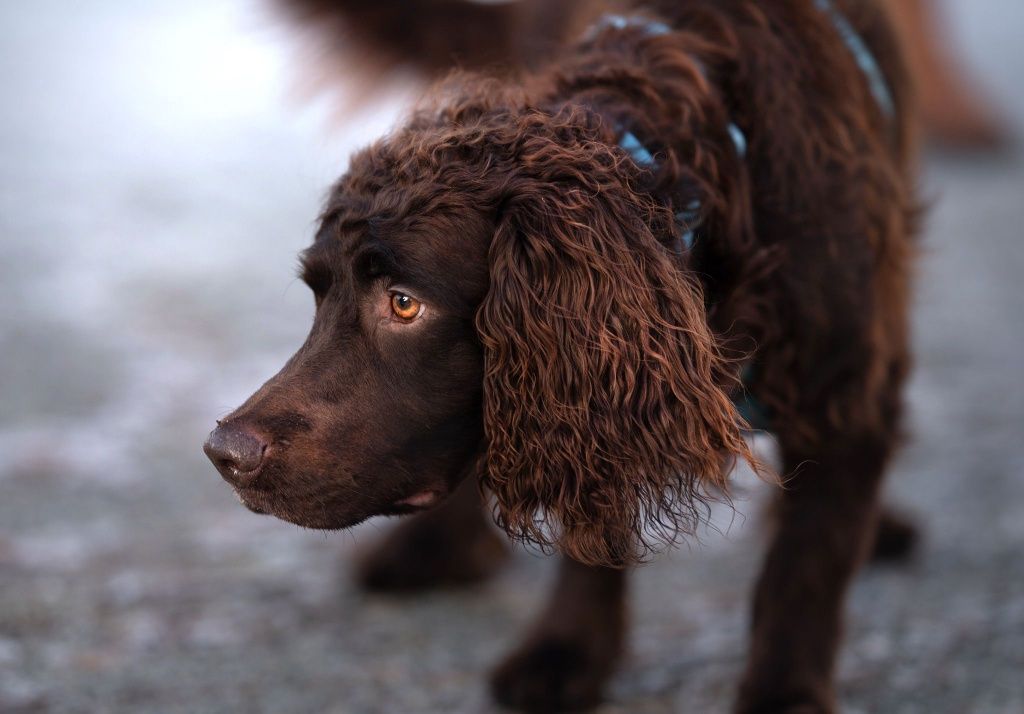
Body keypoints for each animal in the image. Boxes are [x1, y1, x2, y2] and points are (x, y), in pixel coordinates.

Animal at [205, 2, 921, 708]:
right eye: (317, 295)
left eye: (404, 304)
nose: (223, 454)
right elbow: (594, 532)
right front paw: (568, 649)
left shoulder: (844, 394)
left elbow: (803, 571)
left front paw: (782, 695)